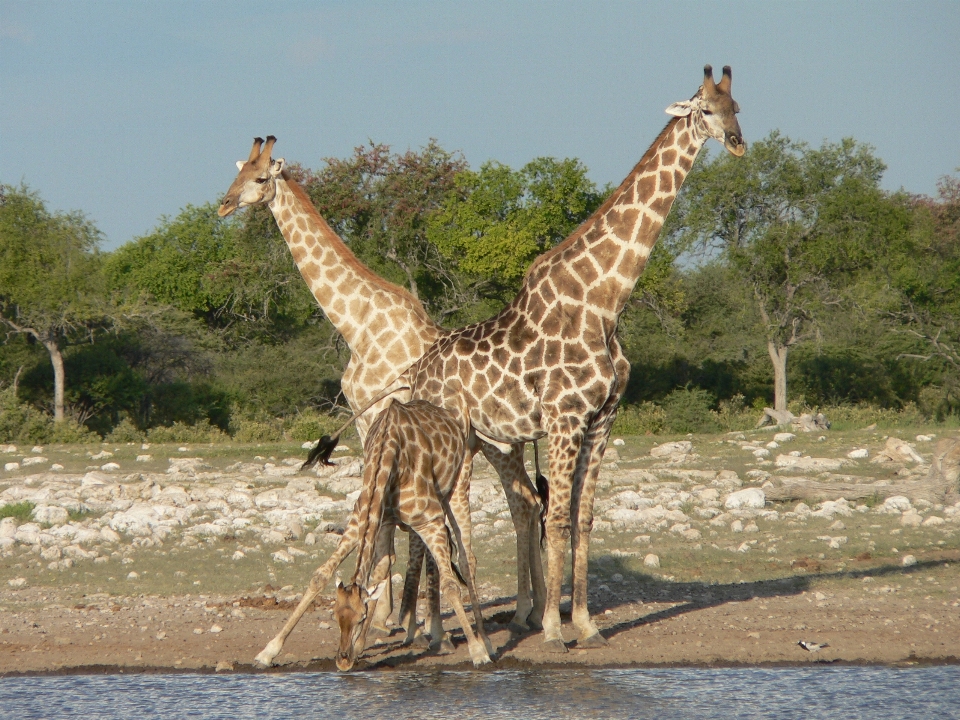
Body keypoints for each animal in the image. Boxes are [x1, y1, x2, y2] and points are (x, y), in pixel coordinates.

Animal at [218, 141, 548, 632]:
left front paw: (382, 614)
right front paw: (394, 612)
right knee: (527, 501)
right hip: (501, 444)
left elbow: (383, 513)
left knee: (524, 504)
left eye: (260, 179)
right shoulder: (364, 420)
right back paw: (537, 608)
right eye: (236, 174)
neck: (357, 323)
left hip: (499, 445)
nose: (223, 205)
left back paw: (530, 609)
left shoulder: (376, 413)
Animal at [256, 396, 496, 668]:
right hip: (395, 522)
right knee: (392, 562)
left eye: (361, 617)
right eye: (335, 615)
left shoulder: (430, 520)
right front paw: (269, 650)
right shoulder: (365, 518)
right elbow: (322, 575)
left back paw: (485, 642)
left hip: (457, 491)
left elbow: (451, 585)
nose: (343, 660)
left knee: (467, 560)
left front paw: (478, 652)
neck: (389, 453)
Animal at [402, 67, 748, 652]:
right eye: (705, 109)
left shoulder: (602, 419)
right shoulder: (565, 419)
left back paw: (440, 632)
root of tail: (416, 377)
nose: (738, 143)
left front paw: (586, 624)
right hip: (452, 443)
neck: (605, 301)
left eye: (738, 107)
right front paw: (552, 631)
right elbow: (559, 519)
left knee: (466, 520)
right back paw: (439, 635)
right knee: (445, 524)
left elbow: (584, 520)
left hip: (485, 441)